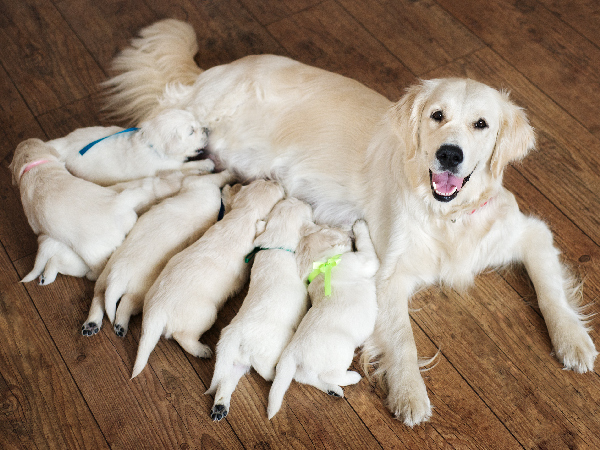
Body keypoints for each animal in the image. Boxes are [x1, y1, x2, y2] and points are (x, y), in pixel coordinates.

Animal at [48, 107, 214, 186]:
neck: (151, 144)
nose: (207, 130)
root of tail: (64, 144)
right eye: (191, 131)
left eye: (197, 123)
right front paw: (206, 164)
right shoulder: (167, 166)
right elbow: (186, 167)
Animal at [81, 170, 236, 338]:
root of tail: (116, 277)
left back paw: (100, 324)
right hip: (129, 288)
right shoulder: (197, 183)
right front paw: (227, 174)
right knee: (114, 302)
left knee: (106, 300)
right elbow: (216, 178)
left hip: (119, 285)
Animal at [206, 197, 314, 422]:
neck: (276, 244)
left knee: (225, 380)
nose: (305, 200)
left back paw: (220, 406)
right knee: (266, 373)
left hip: (235, 360)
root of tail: (234, 334)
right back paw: (275, 376)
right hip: (269, 352)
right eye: (304, 206)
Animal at [266, 220, 378, 420]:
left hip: (304, 370)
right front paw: (360, 226)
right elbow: (366, 245)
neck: (323, 264)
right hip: (342, 350)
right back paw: (352, 378)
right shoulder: (364, 260)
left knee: (311, 378)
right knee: (330, 375)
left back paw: (333, 391)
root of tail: (291, 353)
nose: (347, 229)